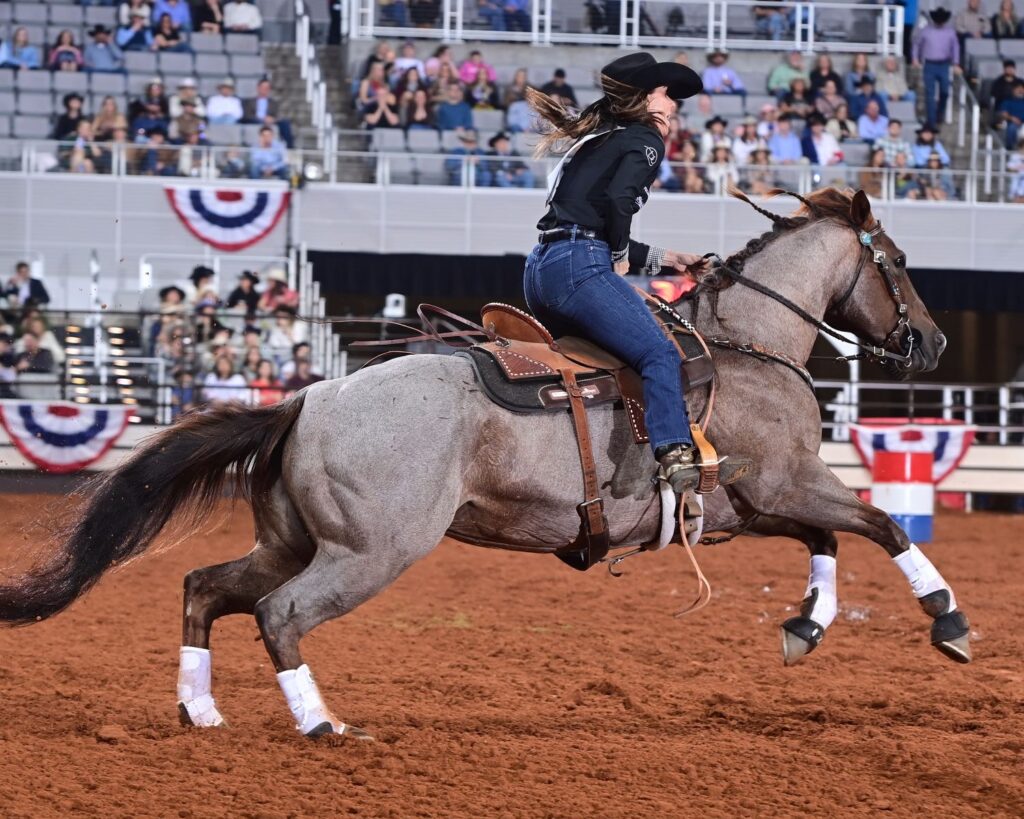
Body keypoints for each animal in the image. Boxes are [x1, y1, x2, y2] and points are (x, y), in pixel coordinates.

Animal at [0, 188, 966, 737]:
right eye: (899, 261)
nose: (933, 340)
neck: (745, 347)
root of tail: (310, 400)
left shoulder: (753, 505)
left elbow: (831, 541)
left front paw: (807, 625)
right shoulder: (784, 482)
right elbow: (880, 522)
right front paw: (948, 621)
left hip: (293, 540)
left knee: (206, 588)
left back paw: (201, 709)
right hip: (369, 552)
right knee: (280, 613)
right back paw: (321, 725)